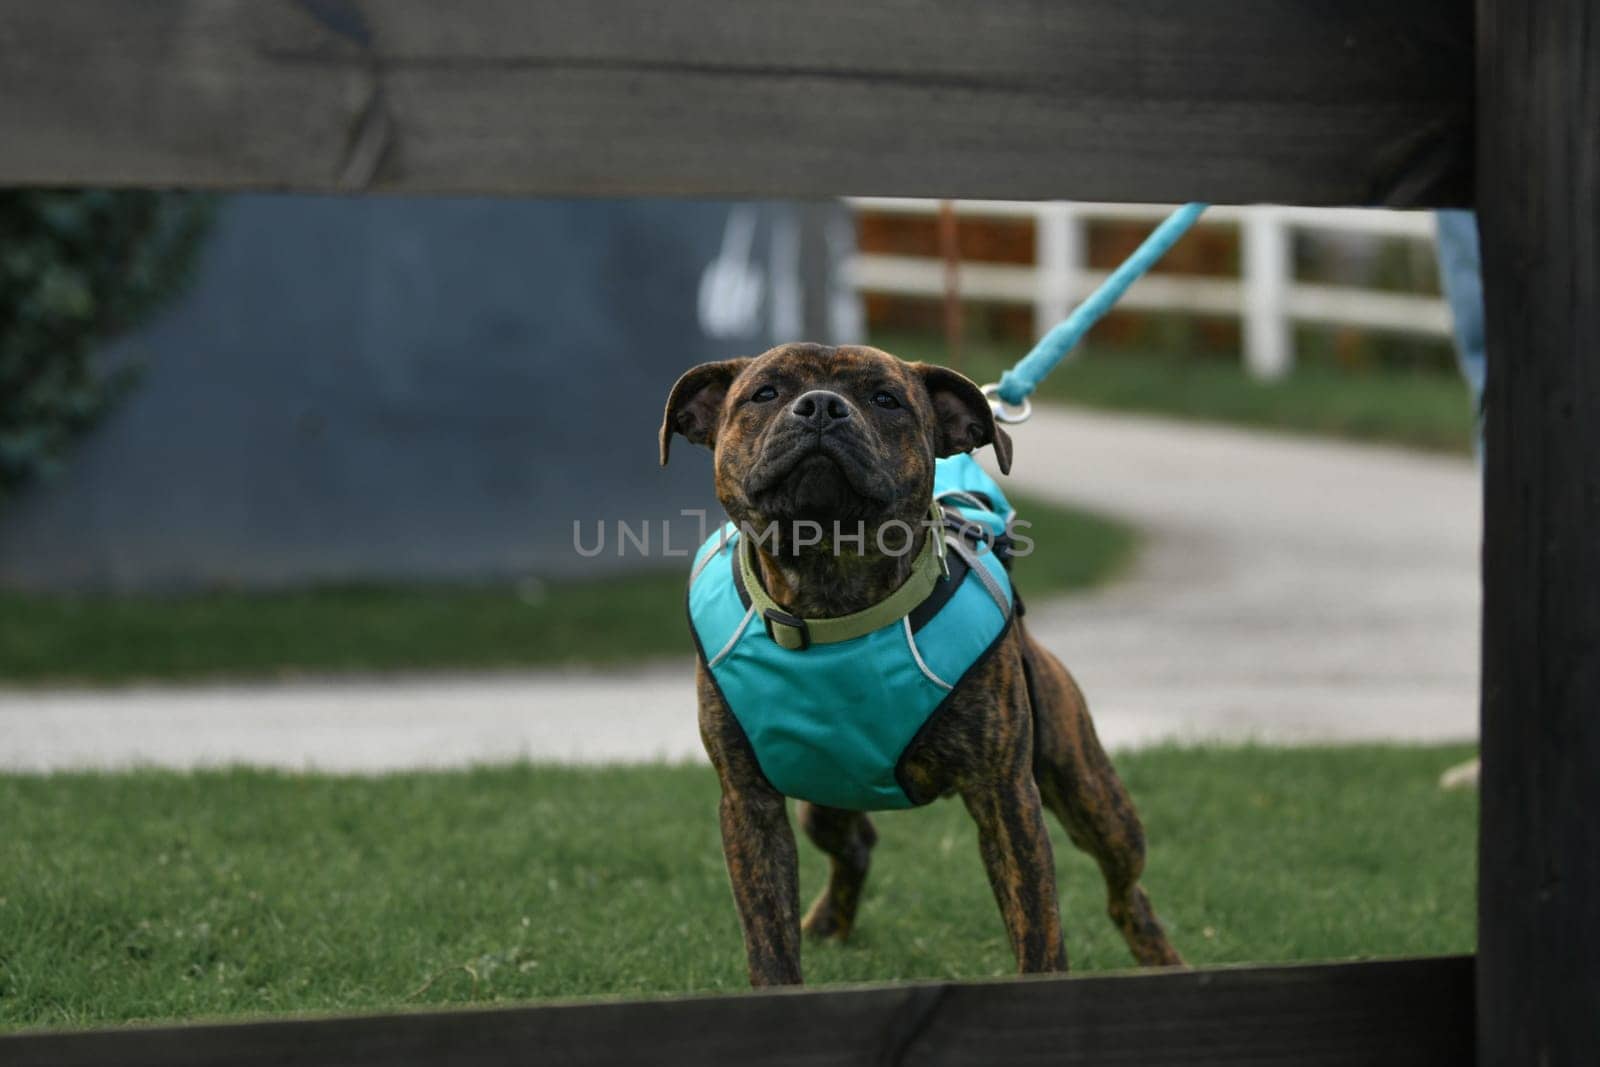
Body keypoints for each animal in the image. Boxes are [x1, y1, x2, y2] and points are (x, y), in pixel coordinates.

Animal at [656, 342, 1184, 985]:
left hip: (1094, 798)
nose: (822, 406)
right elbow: (769, 938)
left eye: (887, 399)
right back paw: (828, 922)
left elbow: (1038, 926)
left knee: (1125, 889)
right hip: (822, 799)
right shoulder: (748, 802)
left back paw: (1161, 958)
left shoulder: (1006, 798)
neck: (831, 592)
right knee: (856, 841)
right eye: (765, 393)